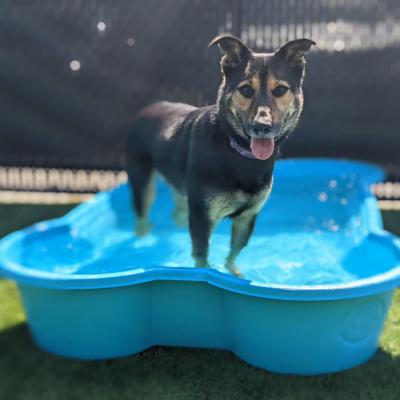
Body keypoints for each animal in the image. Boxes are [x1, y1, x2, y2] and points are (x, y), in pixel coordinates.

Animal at [126, 34, 314, 276]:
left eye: (280, 90)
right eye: (246, 90)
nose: (262, 127)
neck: (238, 152)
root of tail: (145, 110)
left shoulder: (247, 217)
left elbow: (234, 251)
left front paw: (233, 271)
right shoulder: (202, 218)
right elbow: (202, 258)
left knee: (177, 207)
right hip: (143, 180)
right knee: (142, 213)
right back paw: (142, 239)